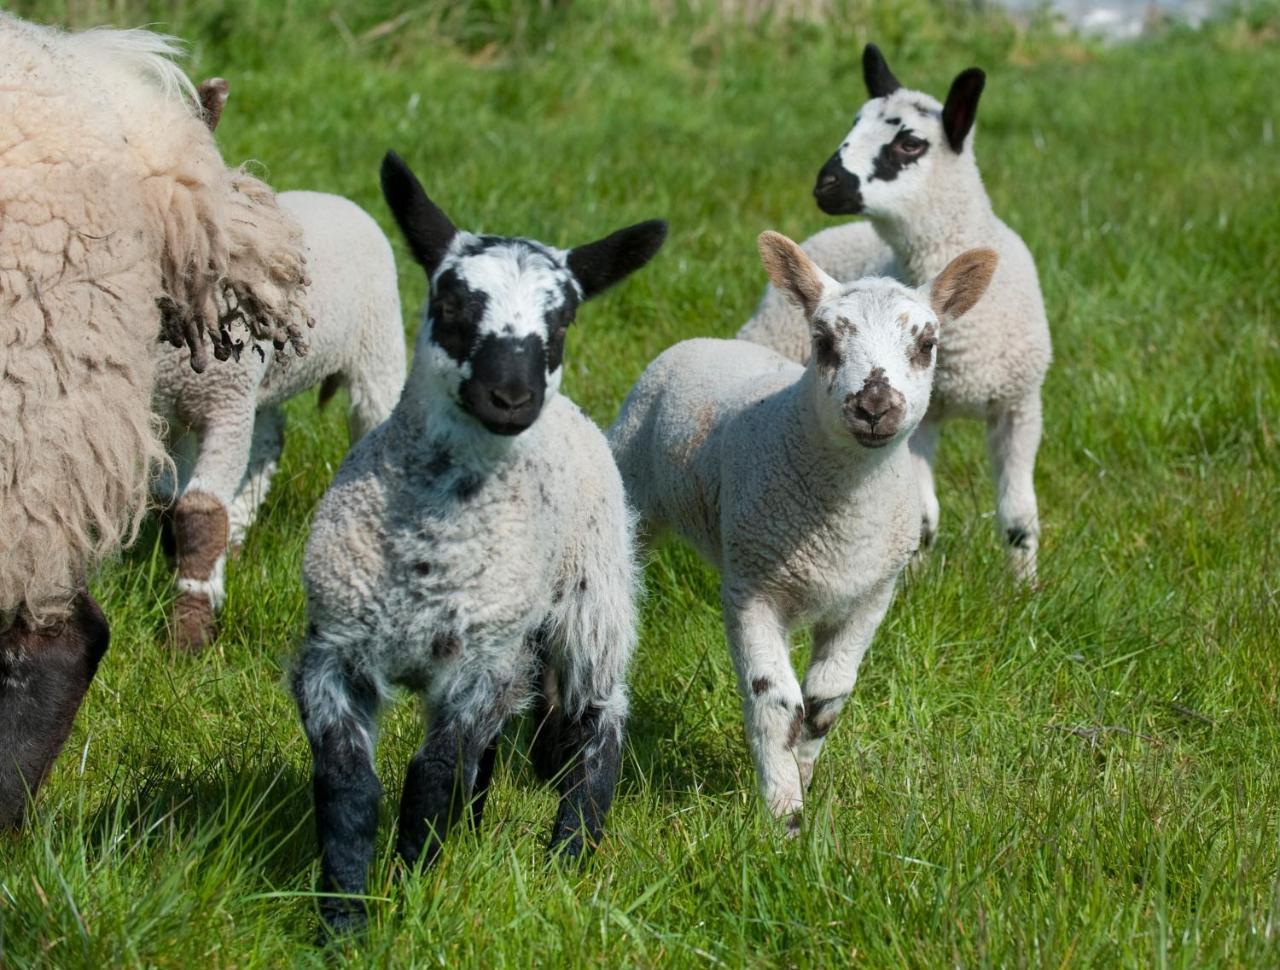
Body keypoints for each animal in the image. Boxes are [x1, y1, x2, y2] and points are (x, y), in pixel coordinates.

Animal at [293, 150, 665, 936]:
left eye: (564, 318)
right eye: (454, 303)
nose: (511, 397)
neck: (431, 546)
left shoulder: (472, 667)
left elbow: (431, 777)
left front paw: (406, 895)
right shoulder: (334, 651)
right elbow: (348, 785)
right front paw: (342, 920)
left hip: (594, 593)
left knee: (598, 719)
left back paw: (569, 856)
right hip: (511, 640)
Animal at [611, 234, 998, 829]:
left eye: (928, 344)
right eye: (823, 340)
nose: (874, 406)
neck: (841, 525)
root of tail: (711, 341)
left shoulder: (871, 593)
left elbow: (824, 701)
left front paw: (805, 775)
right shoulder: (750, 587)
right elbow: (774, 700)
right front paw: (783, 815)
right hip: (632, 476)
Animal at [742, 43, 1049, 586]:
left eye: (909, 143)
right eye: (854, 121)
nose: (825, 185)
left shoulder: (1020, 404)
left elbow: (1018, 518)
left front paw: (1026, 589)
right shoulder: (924, 414)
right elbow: (924, 518)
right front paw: (916, 583)